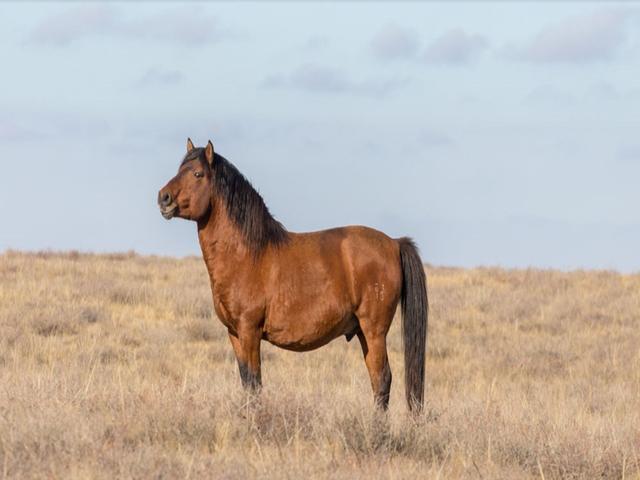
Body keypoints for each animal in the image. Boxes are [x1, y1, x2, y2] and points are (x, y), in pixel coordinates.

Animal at [158, 138, 428, 411]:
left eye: (197, 174)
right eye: (180, 168)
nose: (163, 198)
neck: (246, 253)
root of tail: (394, 242)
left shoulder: (249, 331)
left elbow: (254, 384)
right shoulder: (234, 334)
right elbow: (246, 383)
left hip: (374, 331)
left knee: (382, 380)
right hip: (363, 332)